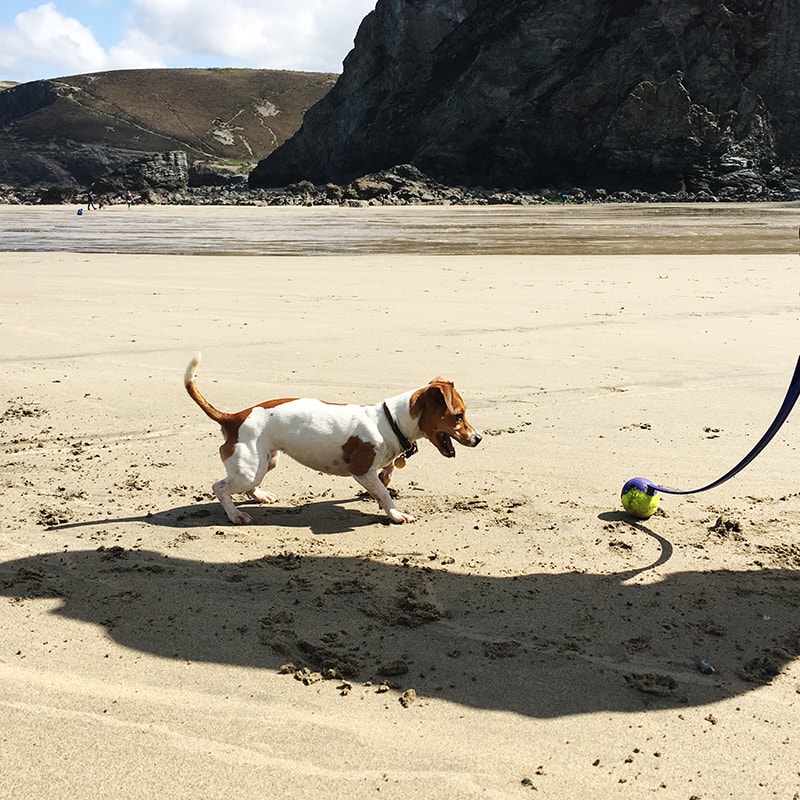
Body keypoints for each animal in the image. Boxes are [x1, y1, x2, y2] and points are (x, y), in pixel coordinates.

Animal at [184, 354, 478, 524]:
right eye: (459, 416)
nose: (478, 439)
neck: (391, 421)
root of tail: (233, 417)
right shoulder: (361, 470)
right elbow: (383, 493)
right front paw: (395, 514)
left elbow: (386, 478)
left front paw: (385, 484)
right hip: (249, 468)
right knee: (220, 487)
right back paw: (235, 515)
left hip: (266, 462)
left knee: (248, 485)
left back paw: (260, 496)